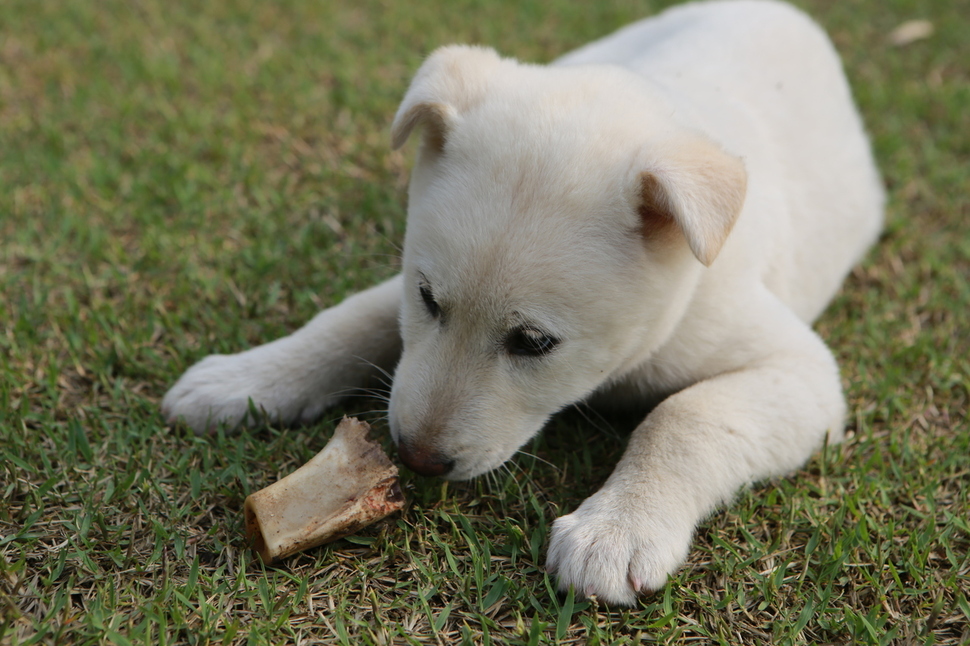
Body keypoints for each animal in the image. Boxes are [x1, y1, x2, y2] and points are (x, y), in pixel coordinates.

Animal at [163, 0, 880, 608]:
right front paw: (246, 380)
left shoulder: (798, 369)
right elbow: (351, 320)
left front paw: (616, 530)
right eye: (427, 299)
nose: (417, 459)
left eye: (534, 343)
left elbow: (685, 416)